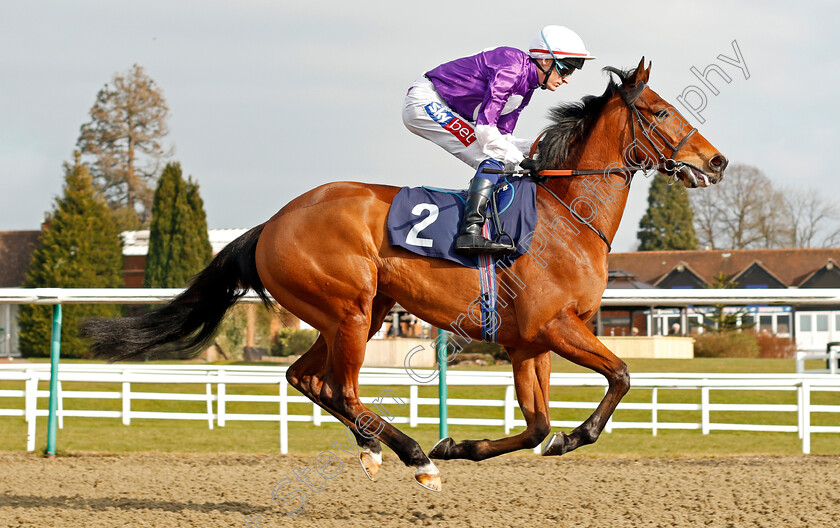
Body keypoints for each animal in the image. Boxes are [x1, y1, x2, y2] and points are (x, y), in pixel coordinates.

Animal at [87, 59, 728, 492]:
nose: (716, 160)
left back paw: (377, 446)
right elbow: (620, 376)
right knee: (339, 387)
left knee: (304, 377)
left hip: (356, 315)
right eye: (662, 111)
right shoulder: (555, 327)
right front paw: (569, 437)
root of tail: (273, 221)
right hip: (347, 309)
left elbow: (536, 424)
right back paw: (412, 456)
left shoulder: (528, 342)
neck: (566, 217)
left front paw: (462, 444)